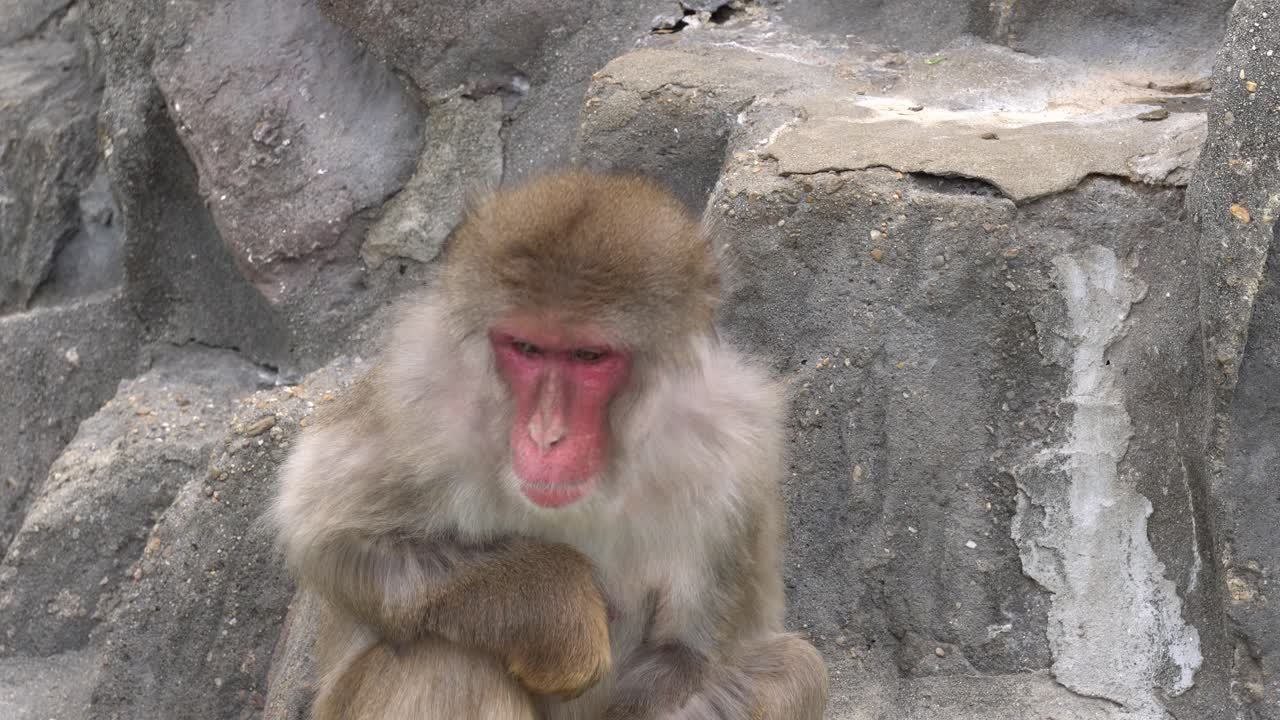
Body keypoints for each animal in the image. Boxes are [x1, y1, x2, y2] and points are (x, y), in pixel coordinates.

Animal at [270, 170, 829, 719]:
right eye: (526, 348)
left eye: (589, 356)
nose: (545, 435)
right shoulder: (418, 397)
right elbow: (328, 534)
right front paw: (555, 604)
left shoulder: (736, 452)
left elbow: (685, 658)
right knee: (446, 663)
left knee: (797, 669)